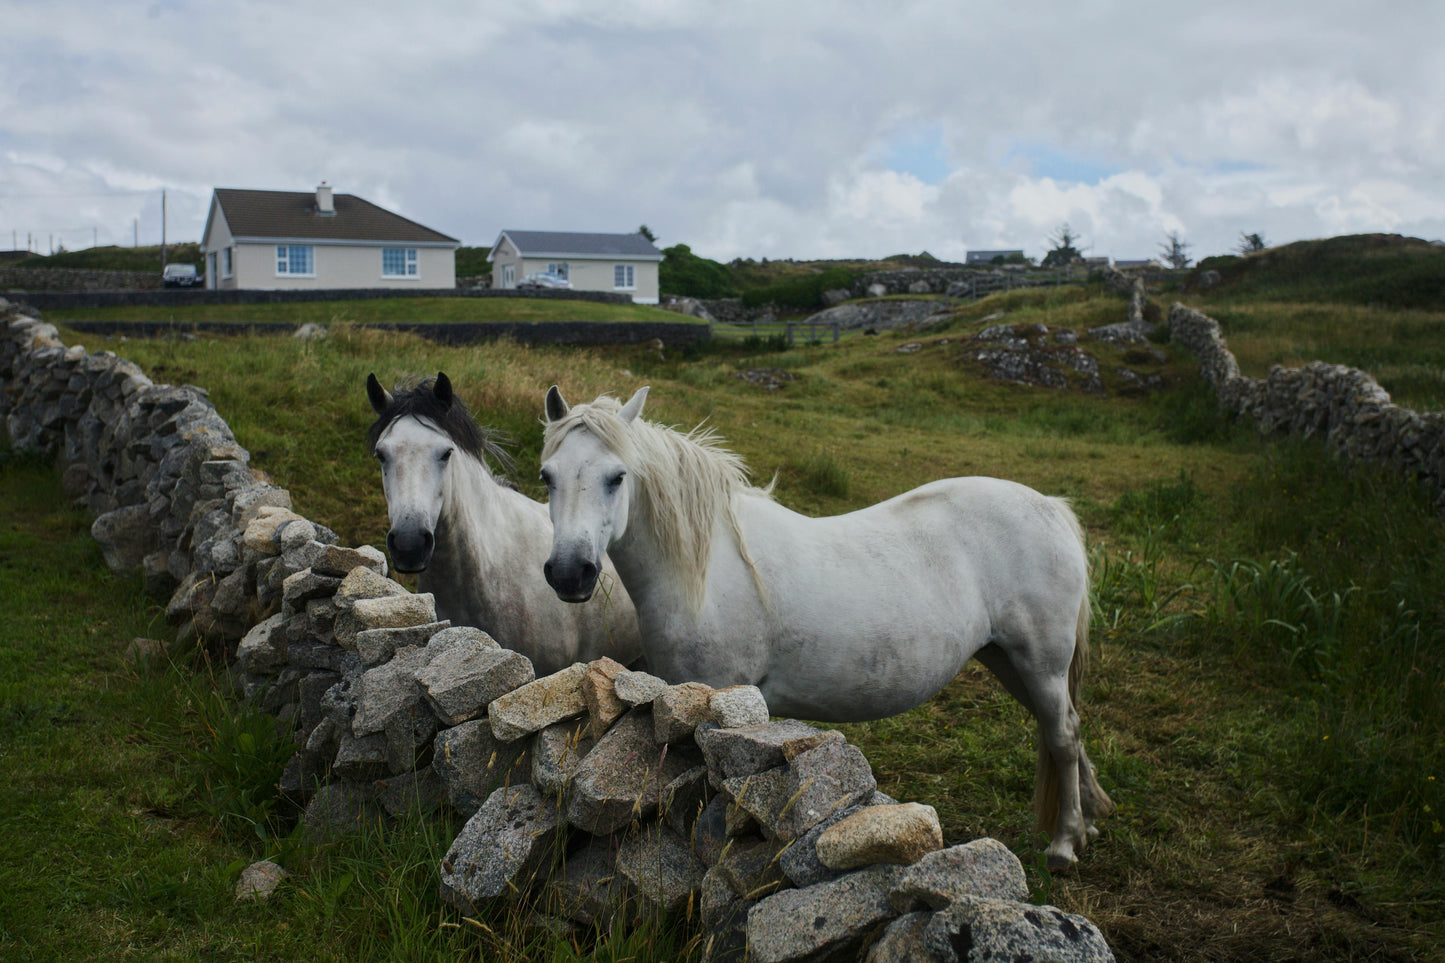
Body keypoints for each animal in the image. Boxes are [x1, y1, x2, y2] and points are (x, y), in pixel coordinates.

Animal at [538, 384, 1113, 868]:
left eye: (617, 477)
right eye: (548, 476)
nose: (569, 573)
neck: (705, 570)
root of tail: (1050, 507)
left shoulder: (722, 700)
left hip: (1041, 663)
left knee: (1062, 735)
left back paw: (1065, 844)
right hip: (1011, 662)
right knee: (1063, 728)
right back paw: (1088, 822)